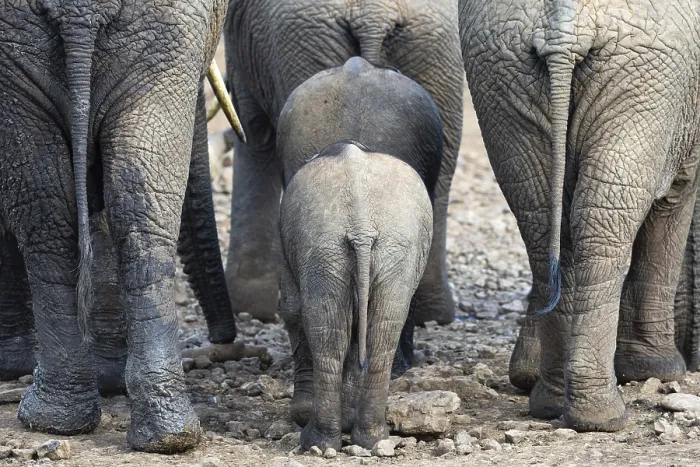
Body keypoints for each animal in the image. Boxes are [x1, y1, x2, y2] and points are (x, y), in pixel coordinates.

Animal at [0, 0, 242, 453]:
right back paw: (160, 434)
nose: (224, 340)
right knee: (121, 210)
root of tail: (80, 12)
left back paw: (60, 418)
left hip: (156, 42)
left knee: (70, 218)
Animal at [223, 0, 464, 326]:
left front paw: (249, 308)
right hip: (437, 51)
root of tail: (374, 16)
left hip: (304, 44)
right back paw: (435, 315)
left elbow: (253, 130)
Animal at [276, 57, 441, 451]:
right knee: (380, 330)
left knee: (329, 332)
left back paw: (318, 440)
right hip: (383, 245)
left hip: (325, 244)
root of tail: (362, 220)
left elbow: (292, 307)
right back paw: (369, 438)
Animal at [460, 0, 700, 431]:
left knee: (542, 224)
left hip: (501, 69)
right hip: (644, 78)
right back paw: (601, 416)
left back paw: (553, 403)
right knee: (602, 223)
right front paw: (659, 371)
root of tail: (562, 25)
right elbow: (675, 198)